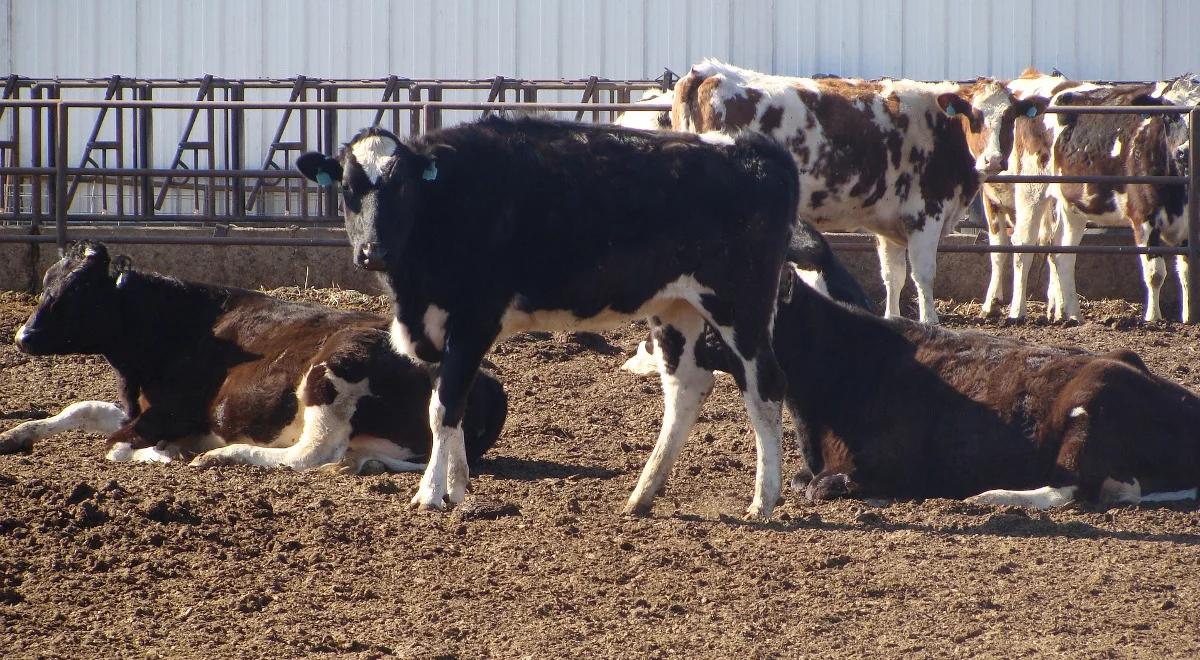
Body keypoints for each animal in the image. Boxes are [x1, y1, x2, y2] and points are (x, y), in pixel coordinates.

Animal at [0, 243, 506, 475]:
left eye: (80, 290)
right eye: (46, 284)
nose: (24, 337)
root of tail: (486, 381)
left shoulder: (171, 413)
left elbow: (117, 446)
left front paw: (165, 453)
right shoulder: (139, 407)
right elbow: (80, 408)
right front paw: (16, 433)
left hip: (333, 372)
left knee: (309, 453)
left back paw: (221, 454)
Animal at [296, 116, 801, 520]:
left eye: (401, 187)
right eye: (348, 189)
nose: (372, 252)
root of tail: (755, 149)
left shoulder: (473, 321)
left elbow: (443, 408)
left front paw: (430, 493)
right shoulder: (439, 332)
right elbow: (447, 405)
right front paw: (457, 486)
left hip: (741, 304)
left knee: (766, 387)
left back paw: (763, 500)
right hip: (676, 307)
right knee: (687, 389)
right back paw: (642, 495)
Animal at [628, 262, 1200, 506]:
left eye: (725, 314)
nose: (667, 343)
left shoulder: (885, 466)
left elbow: (821, 485)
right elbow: (802, 479)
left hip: (1091, 406)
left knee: (1075, 490)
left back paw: (989, 495)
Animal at [672, 60, 1046, 324]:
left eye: (1010, 118)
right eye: (974, 116)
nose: (994, 159)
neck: (941, 129)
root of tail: (709, 72)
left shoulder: (890, 224)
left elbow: (893, 276)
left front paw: (894, 319)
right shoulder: (926, 214)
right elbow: (923, 274)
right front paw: (931, 322)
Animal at [1051, 84, 1190, 324]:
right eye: (1169, 116)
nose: (1184, 152)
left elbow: (1187, 272)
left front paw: (1189, 316)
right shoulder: (1144, 218)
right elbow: (1155, 273)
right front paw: (1153, 318)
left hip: (1073, 210)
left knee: (1061, 255)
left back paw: (1069, 312)